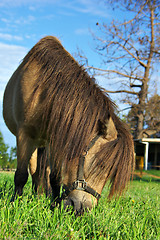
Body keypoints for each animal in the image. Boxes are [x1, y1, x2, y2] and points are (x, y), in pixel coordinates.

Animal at [2, 36, 135, 214]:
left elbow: (55, 177)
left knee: (41, 173)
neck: (43, 92)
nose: (82, 210)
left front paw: (53, 203)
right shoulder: (24, 135)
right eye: (101, 165)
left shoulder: (54, 140)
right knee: (33, 171)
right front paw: (14, 205)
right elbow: (21, 175)